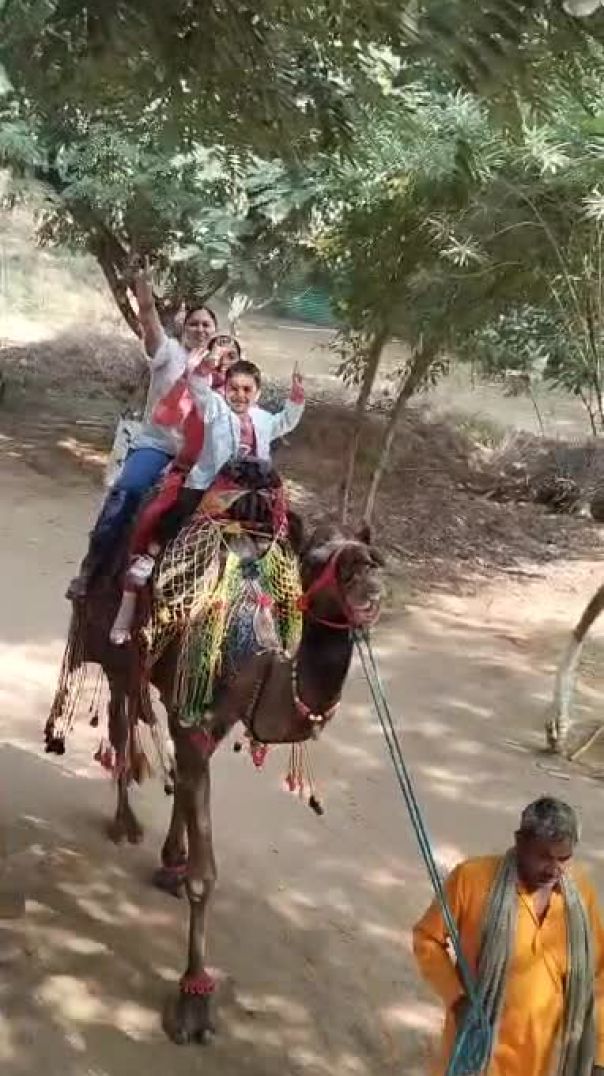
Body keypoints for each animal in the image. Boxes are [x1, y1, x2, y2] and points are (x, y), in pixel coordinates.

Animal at [45, 461, 384, 1044]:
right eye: (320, 560)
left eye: (372, 554)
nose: (370, 589)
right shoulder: (195, 716)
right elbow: (207, 874)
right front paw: (192, 1003)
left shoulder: (211, 713)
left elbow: (188, 783)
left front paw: (173, 865)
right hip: (112, 646)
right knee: (119, 714)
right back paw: (124, 823)